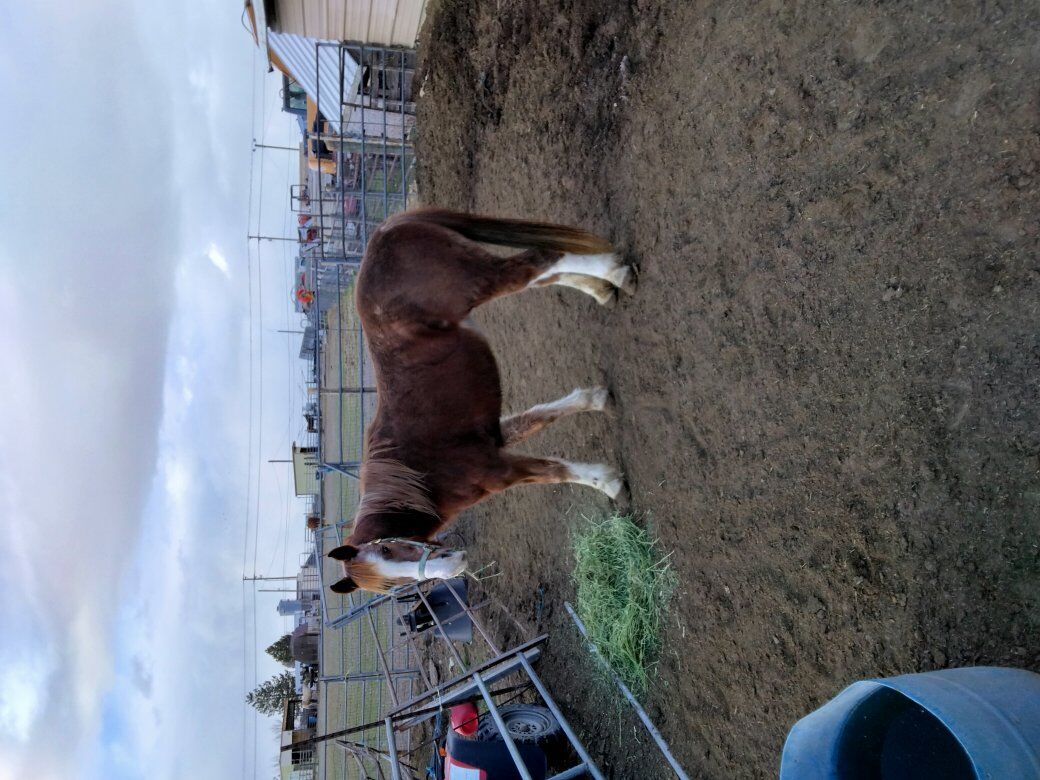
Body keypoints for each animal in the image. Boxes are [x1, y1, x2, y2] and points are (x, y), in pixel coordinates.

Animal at [326, 208, 634, 595]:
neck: (420, 476)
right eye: (396, 589)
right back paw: (603, 290)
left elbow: (554, 471)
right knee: (544, 274)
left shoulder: (496, 469)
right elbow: (540, 417)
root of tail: (385, 229)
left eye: (388, 549)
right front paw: (596, 400)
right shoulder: (496, 436)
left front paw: (609, 483)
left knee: (540, 262)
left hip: (481, 280)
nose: (454, 566)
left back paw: (616, 273)